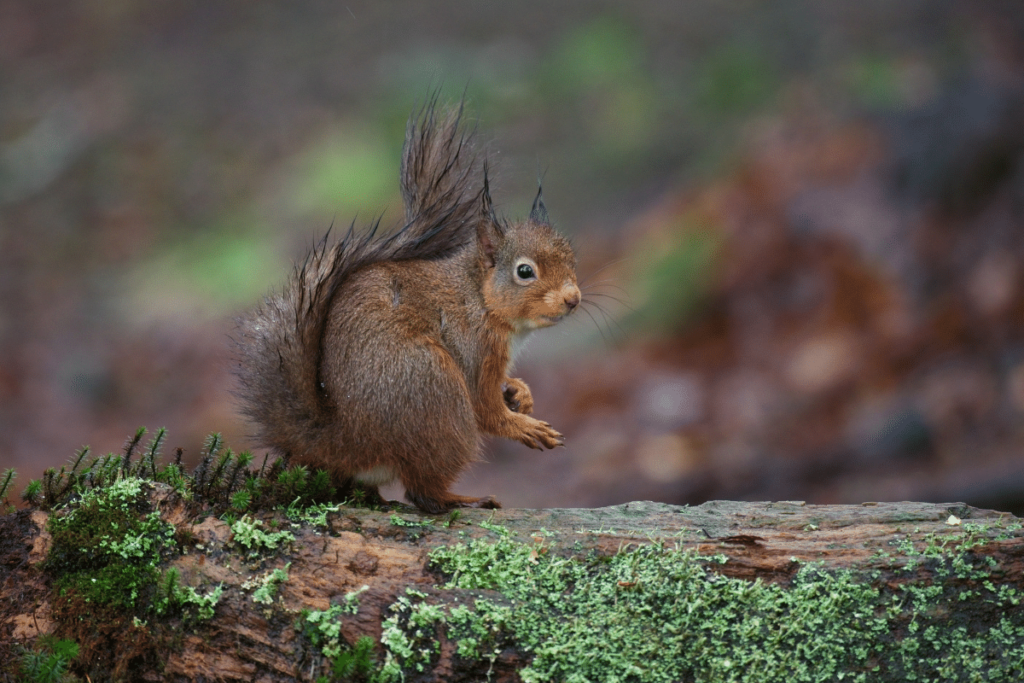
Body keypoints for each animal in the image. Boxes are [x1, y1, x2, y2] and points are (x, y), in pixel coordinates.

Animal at [234, 102, 581, 511]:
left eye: (572, 258)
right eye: (524, 271)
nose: (573, 299)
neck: (480, 299)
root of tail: (346, 442)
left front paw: (519, 392)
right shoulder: (475, 348)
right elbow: (486, 409)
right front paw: (524, 426)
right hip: (437, 393)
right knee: (423, 492)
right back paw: (466, 499)